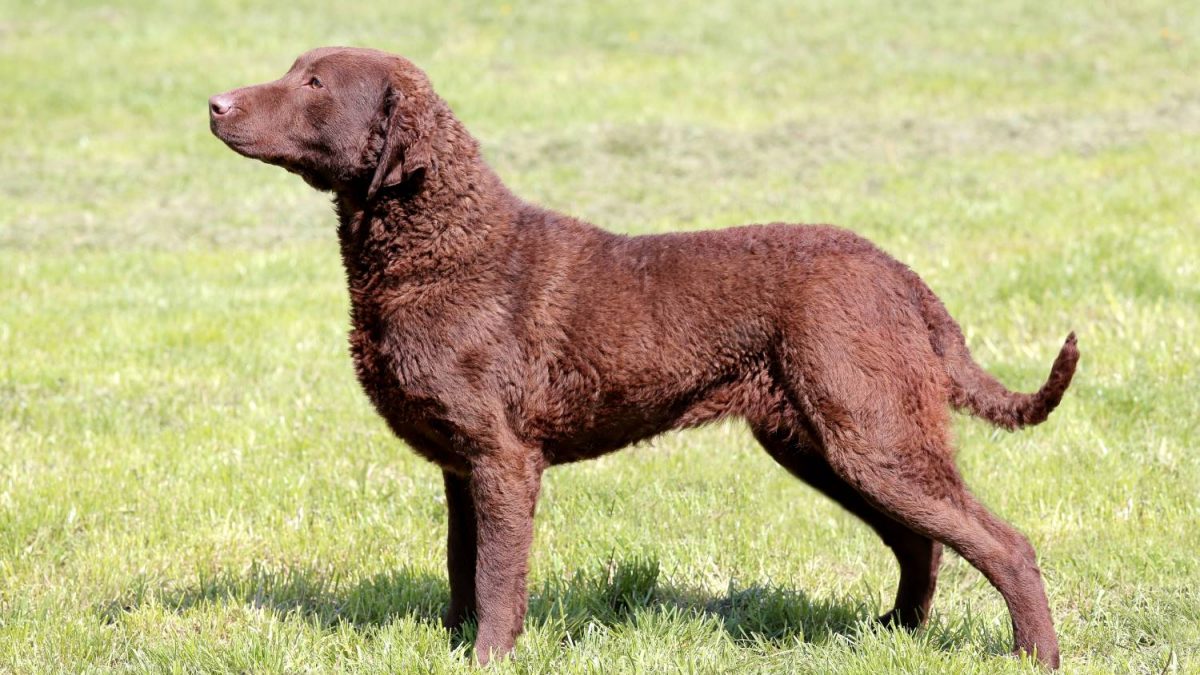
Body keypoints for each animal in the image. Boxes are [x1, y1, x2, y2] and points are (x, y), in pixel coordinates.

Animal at [208, 48, 1080, 667]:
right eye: (293, 68)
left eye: (314, 82)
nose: (214, 102)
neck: (444, 247)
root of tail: (901, 275)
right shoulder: (460, 462)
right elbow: (461, 566)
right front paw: (450, 646)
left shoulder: (503, 457)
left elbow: (498, 577)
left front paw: (489, 656)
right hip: (822, 440)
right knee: (920, 541)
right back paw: (891, 632)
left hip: (871, 433)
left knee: (1002, 543)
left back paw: (1032, 654)